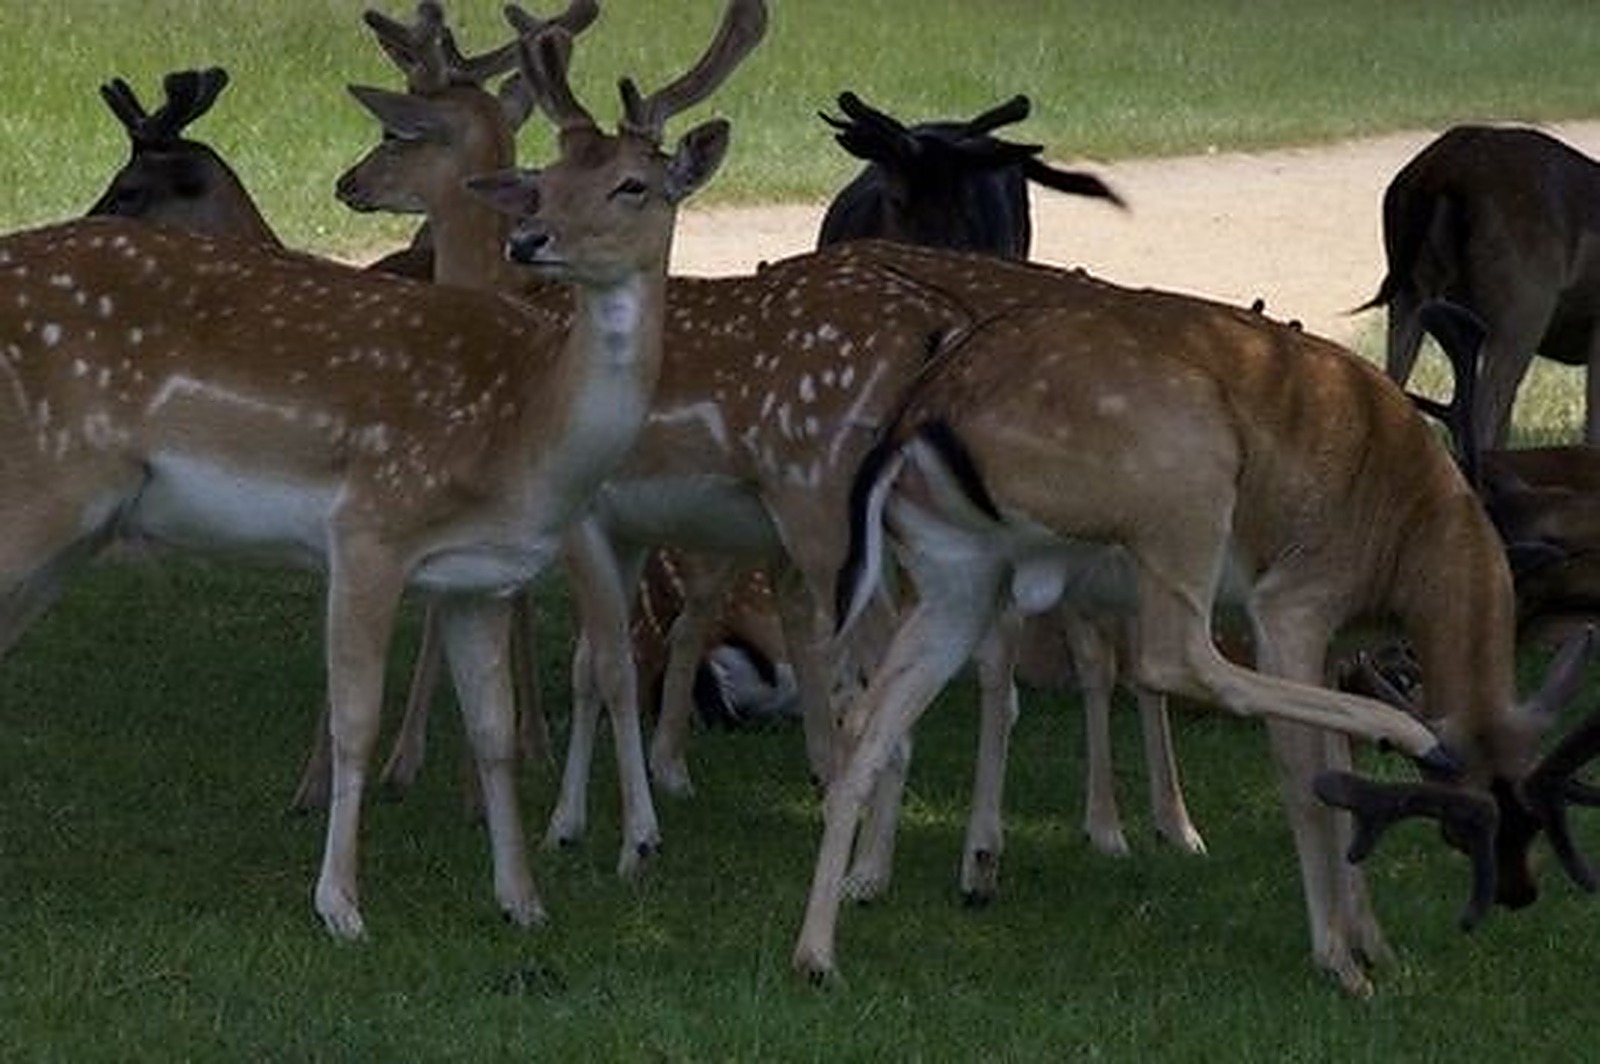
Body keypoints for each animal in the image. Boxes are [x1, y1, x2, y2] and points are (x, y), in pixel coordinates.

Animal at [0, 0, 765, 937]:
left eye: (634, 185)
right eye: (545, 179)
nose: (532, 239)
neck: (524, 433)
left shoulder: (483, 575)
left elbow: (495, 733)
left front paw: (523, 900)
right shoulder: (370, 523)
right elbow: (356, 721)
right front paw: (340, 905)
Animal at [790, 277, 1600, 995]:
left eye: (1534, 820)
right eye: (1469, 823)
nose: (1520, 893)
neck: (1413, 543)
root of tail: (917, 415)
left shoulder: (1340, 644)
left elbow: (1337, 768)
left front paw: (1377, 946)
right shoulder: (1298, 601)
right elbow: (1307, 775)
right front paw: (1342, 962)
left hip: (956, 571)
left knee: (871, 718)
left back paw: (819, 953)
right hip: (1187, 477)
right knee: (1171, 658)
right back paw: (1402, 732)